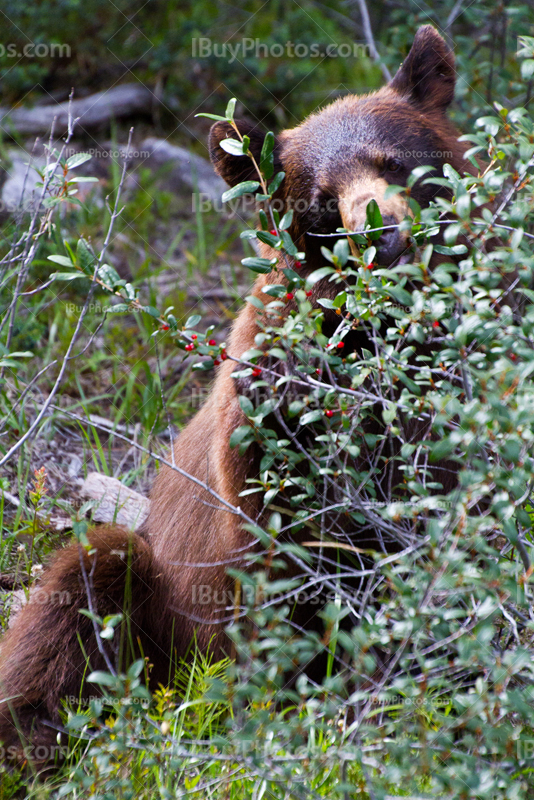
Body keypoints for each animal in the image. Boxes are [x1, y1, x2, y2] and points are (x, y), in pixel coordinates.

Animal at [0, 23, 474, 764]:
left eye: (394, 161)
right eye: (319, 199)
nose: (380, 232)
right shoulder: (268, 416)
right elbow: (272, 549)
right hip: (159, 612)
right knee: (83, 581)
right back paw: (34, 731)